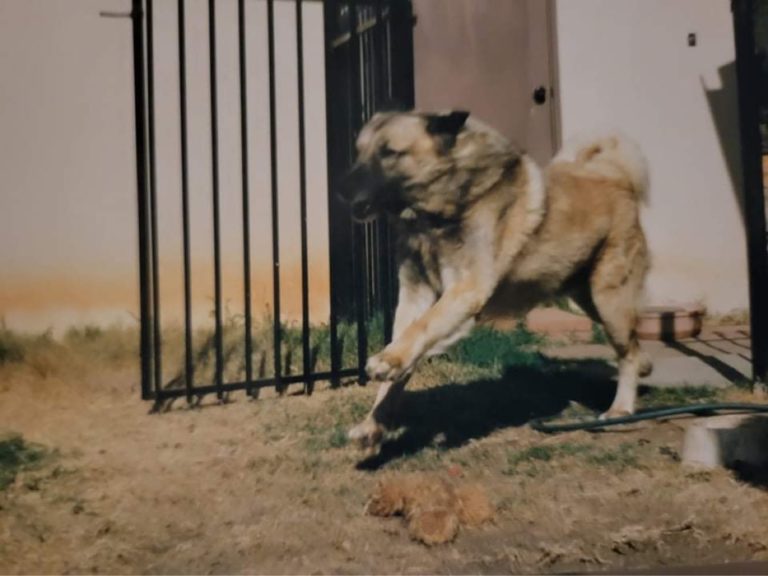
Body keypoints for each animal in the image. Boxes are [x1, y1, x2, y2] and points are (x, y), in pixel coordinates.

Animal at [342, 110, 656, 448]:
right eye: (358, 151)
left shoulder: (466, 289)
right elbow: (408, 344)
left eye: (389, 152)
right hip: (591, 302)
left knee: (627, 352)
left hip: (609, 300)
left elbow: (422, 328)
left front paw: (387, 362)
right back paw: (645, 367)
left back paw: (621, 407)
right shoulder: (416, 296)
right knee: (634, 344)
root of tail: (618, 179)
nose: (339, 189)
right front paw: (374, 423)